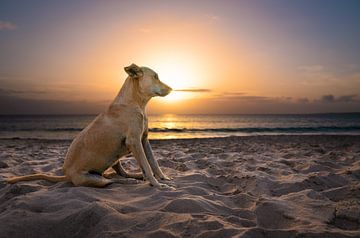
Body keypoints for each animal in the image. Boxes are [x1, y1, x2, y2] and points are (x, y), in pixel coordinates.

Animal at [6, 64, 173, 189]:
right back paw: (131, 180)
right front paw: (157, 185)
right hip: (93, 178)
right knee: (112, 181)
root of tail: (67, 175)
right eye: (155, 77)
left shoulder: (144, 140)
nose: (172, 89)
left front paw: (163, 178)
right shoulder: (135, 142)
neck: (136, 103)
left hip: (114, 160)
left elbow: (153, 163)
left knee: (119, 174)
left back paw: (135, 176)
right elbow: (147, 166)